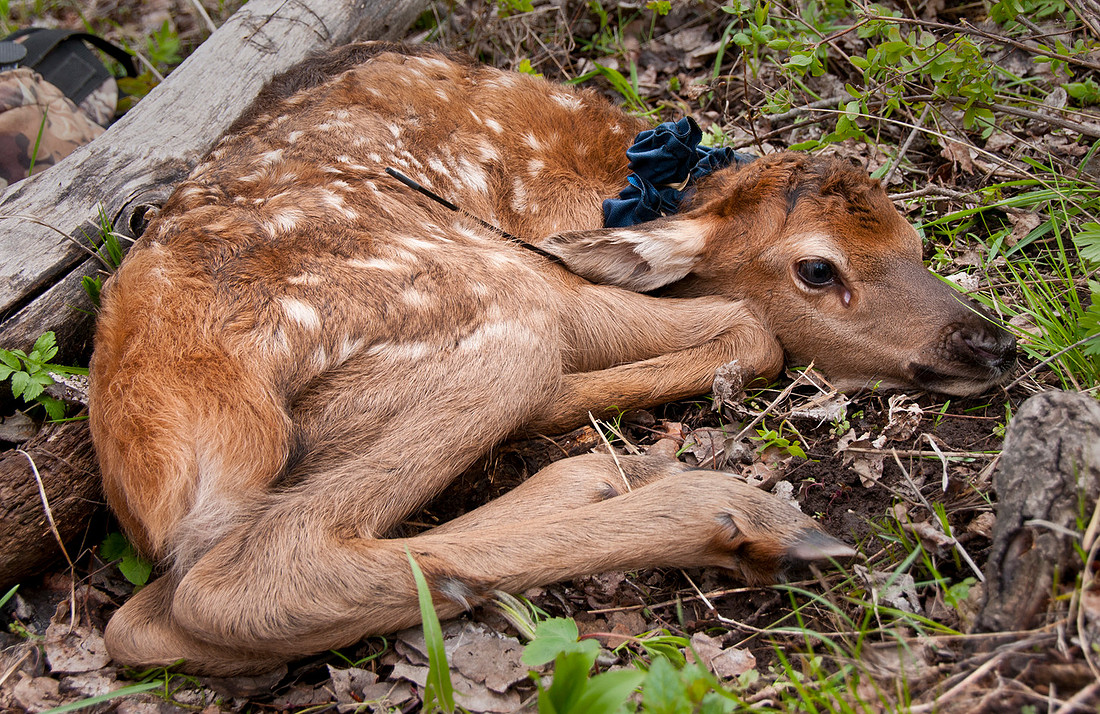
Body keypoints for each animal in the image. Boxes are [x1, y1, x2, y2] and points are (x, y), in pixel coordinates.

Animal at [88, 42, 1016, 675]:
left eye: (913, 239)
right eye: (818, 269)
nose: (993, 343)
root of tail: (166, 446)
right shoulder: (545, 271)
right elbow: (753, 331)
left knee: (142, 620)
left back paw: (604, 476)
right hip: (492, 307)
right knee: (249, 578)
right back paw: (746, 519)